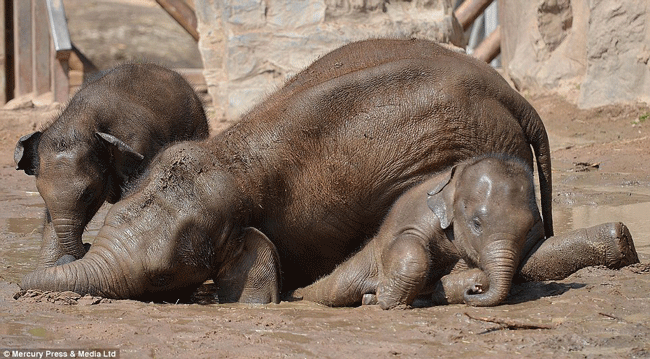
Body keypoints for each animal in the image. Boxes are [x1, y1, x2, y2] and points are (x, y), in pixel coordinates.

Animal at [290, 155, 636, 310]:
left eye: (528, 228)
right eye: (476, 223)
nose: (475, 291)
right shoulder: (420, 216)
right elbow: (409, 246)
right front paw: (388, 302)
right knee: (335, 288)